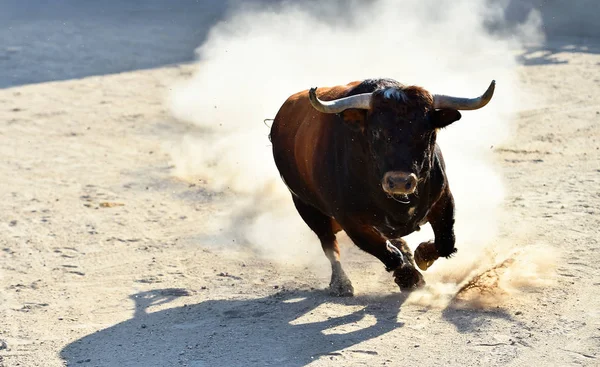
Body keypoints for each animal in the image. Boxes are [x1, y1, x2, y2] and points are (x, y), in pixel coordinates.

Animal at [270, 78, 494, 296]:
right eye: (377, 131)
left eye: (425, 132)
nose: (400, 182)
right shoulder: (350, 220)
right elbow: (388, 255)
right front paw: (408, 277)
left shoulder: (444, 199)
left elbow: (446, 242)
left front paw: (422, 256)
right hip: (306, 205)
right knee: (330, 245)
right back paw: (341, 284)